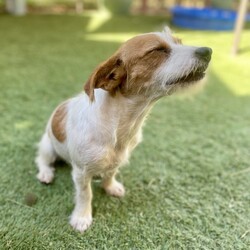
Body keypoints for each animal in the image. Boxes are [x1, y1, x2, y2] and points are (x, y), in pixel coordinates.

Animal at [34, 27, 211, 232]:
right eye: (157, 50)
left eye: (179, 42)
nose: (208, 51)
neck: (120, 125)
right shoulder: (81, 172)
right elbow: (85, 194)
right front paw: (82, 217)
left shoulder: (118, 158)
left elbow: (111, 173)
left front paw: (110, 187)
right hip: (48, 146)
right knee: (41, 160)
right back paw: (46, 173)